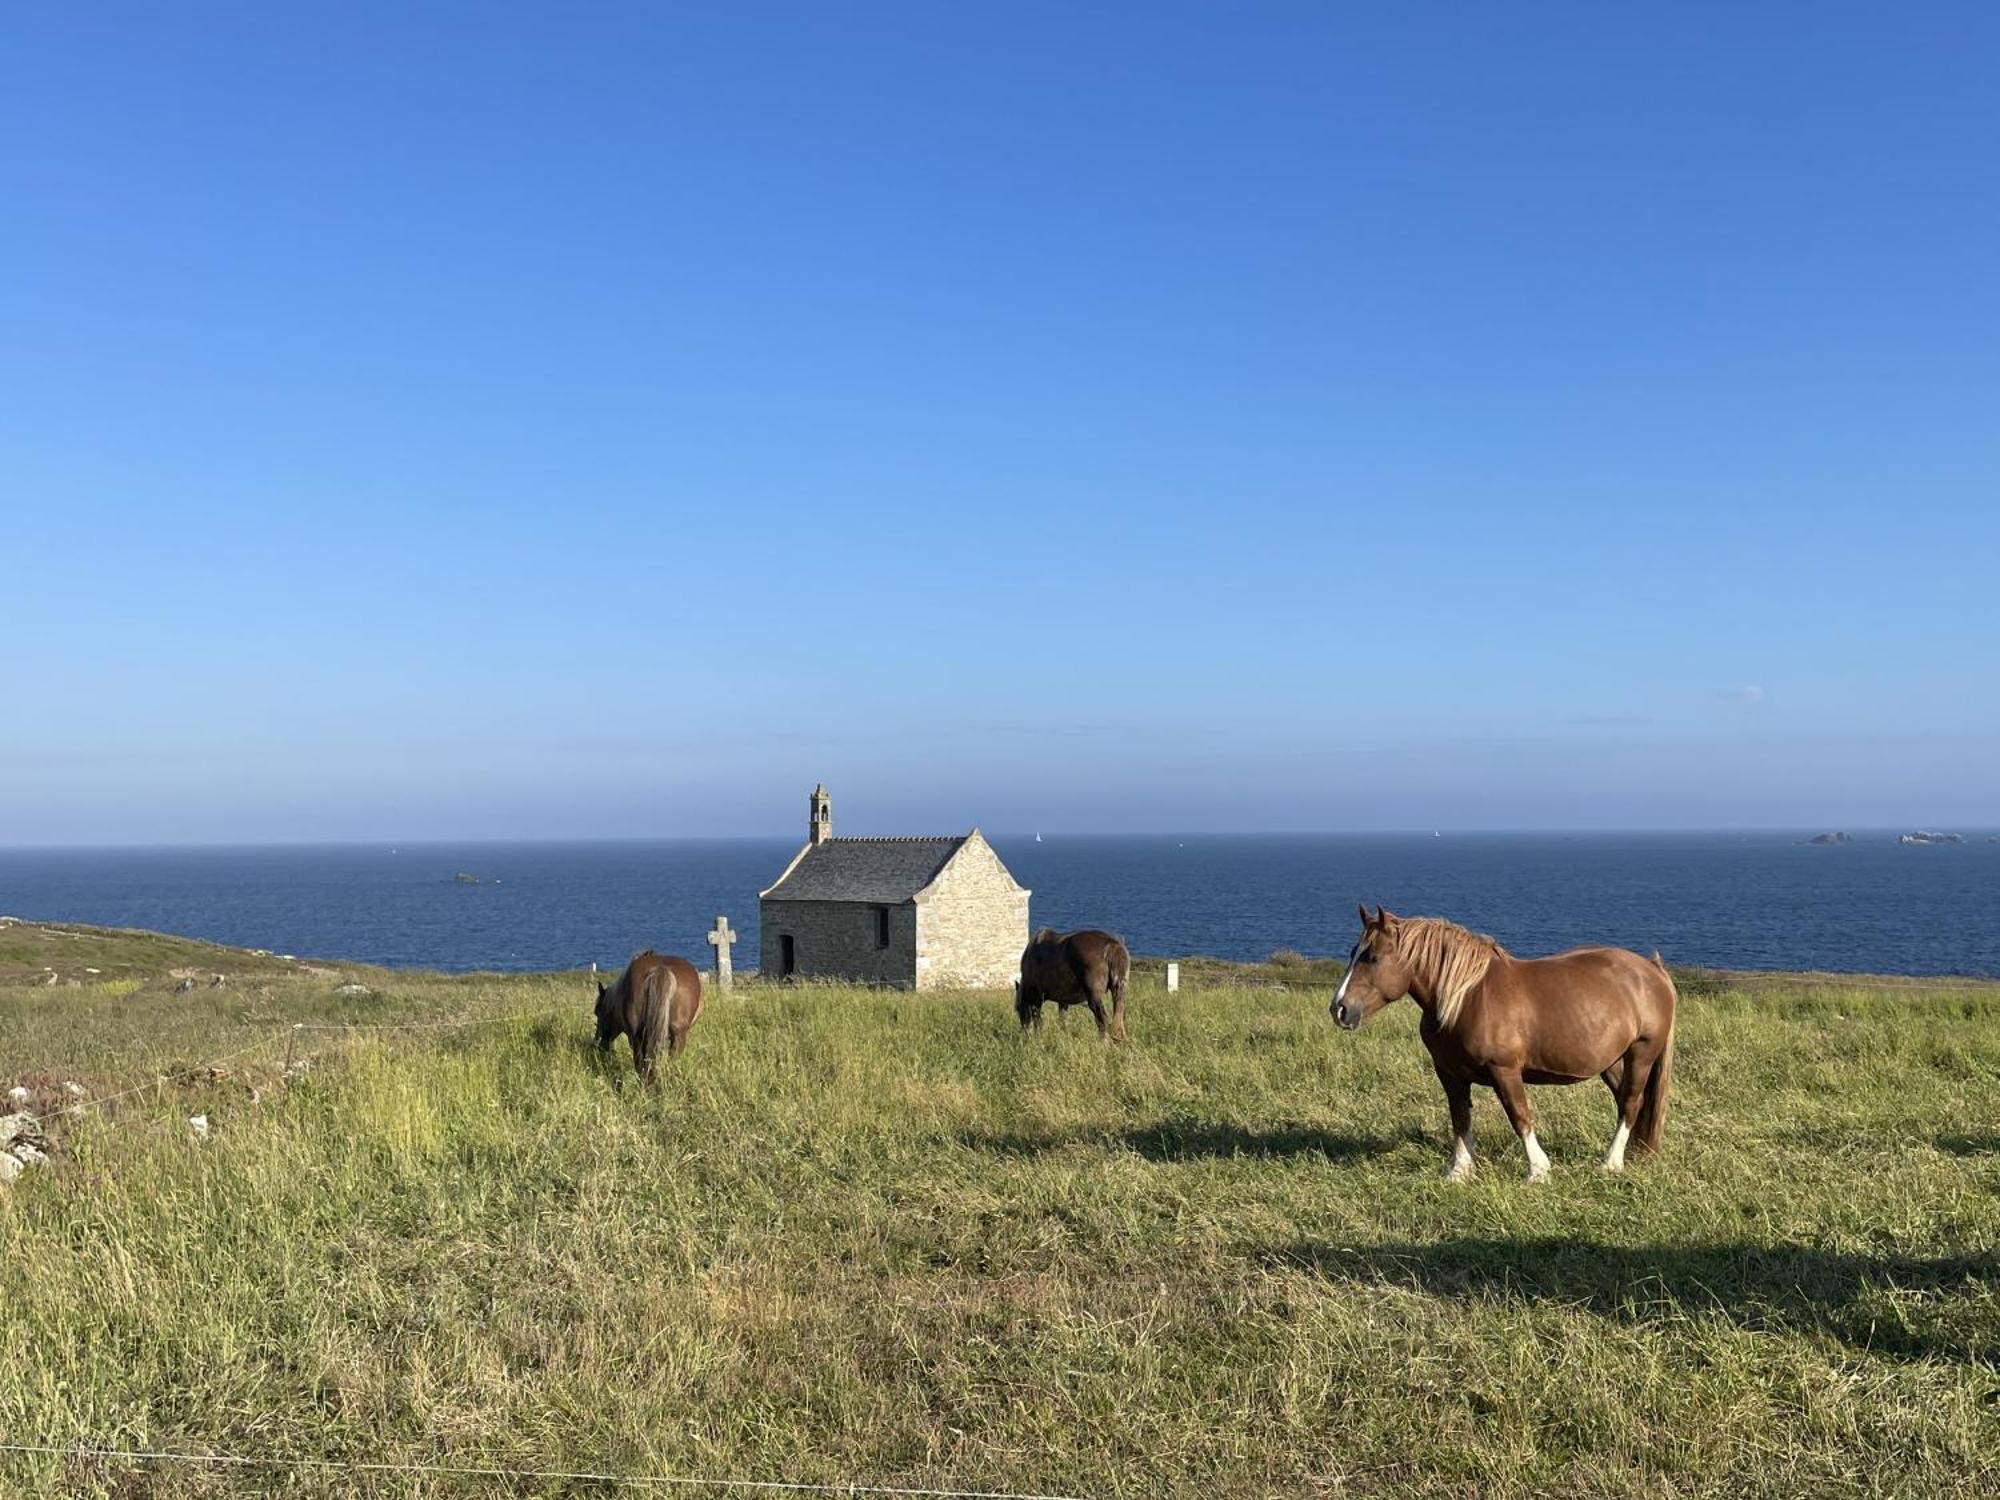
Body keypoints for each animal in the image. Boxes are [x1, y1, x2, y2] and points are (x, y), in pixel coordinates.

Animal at [1336, 904, 1680, 1184]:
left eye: (1373, 957)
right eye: (1353, 952)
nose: (1339, 1009)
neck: (1466, 998)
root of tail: (1652, 970)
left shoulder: (1504, 1071)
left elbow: (1519, 1116)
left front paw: (1538, 1171)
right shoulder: (1449, 1073)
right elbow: (1460, 1117)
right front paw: (1459, 1171)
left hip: (1641, 1053)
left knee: (1631, 1102)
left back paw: (1610, 1163)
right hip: (1611, 1061)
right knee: (1624, 1100)